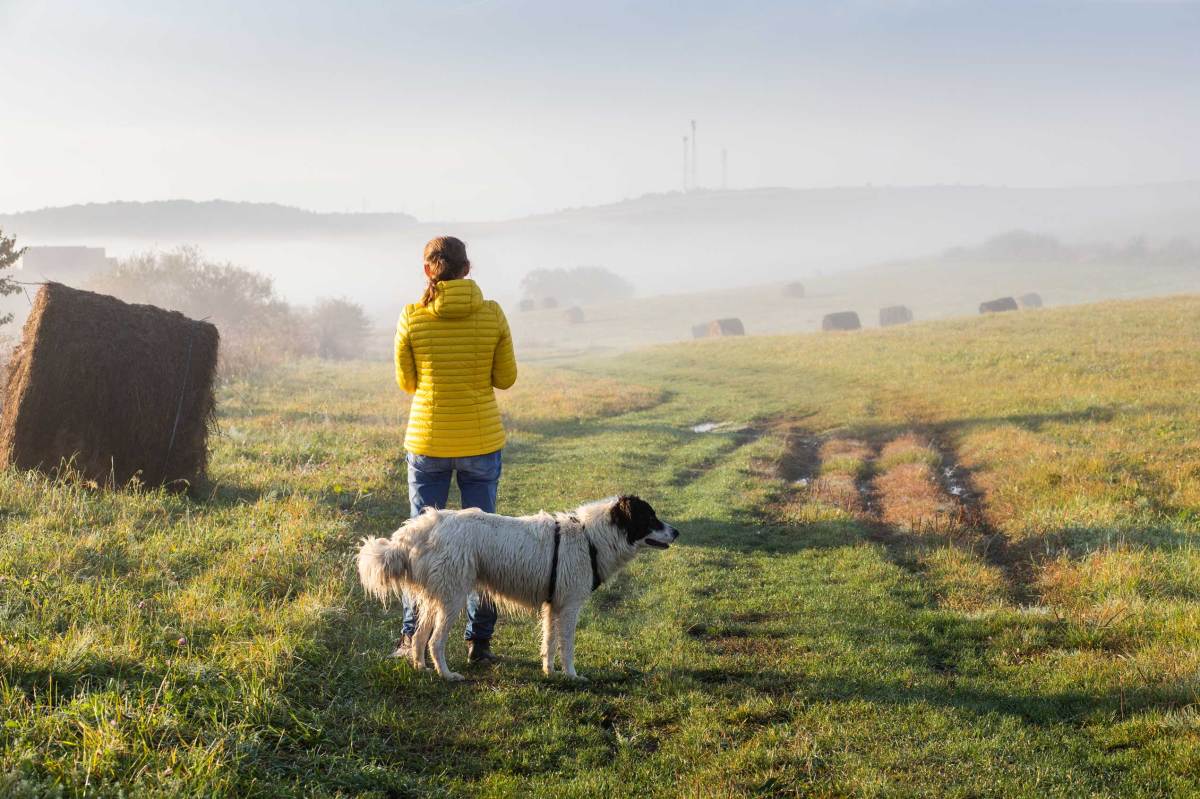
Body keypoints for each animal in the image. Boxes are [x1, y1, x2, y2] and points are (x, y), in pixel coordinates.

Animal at [352, 491, 676, 676]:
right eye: (651, 518)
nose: (677, 532)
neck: (589, 538)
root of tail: (424, 526)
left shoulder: (552, 606)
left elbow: (549, 643)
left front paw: (549, 672)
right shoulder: (569, 607)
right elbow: (567, 646)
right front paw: (572, 675)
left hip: (438, 597)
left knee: (420, 637)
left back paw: (421, 670)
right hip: (453, 599)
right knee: (435, 641)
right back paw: (446, 675)